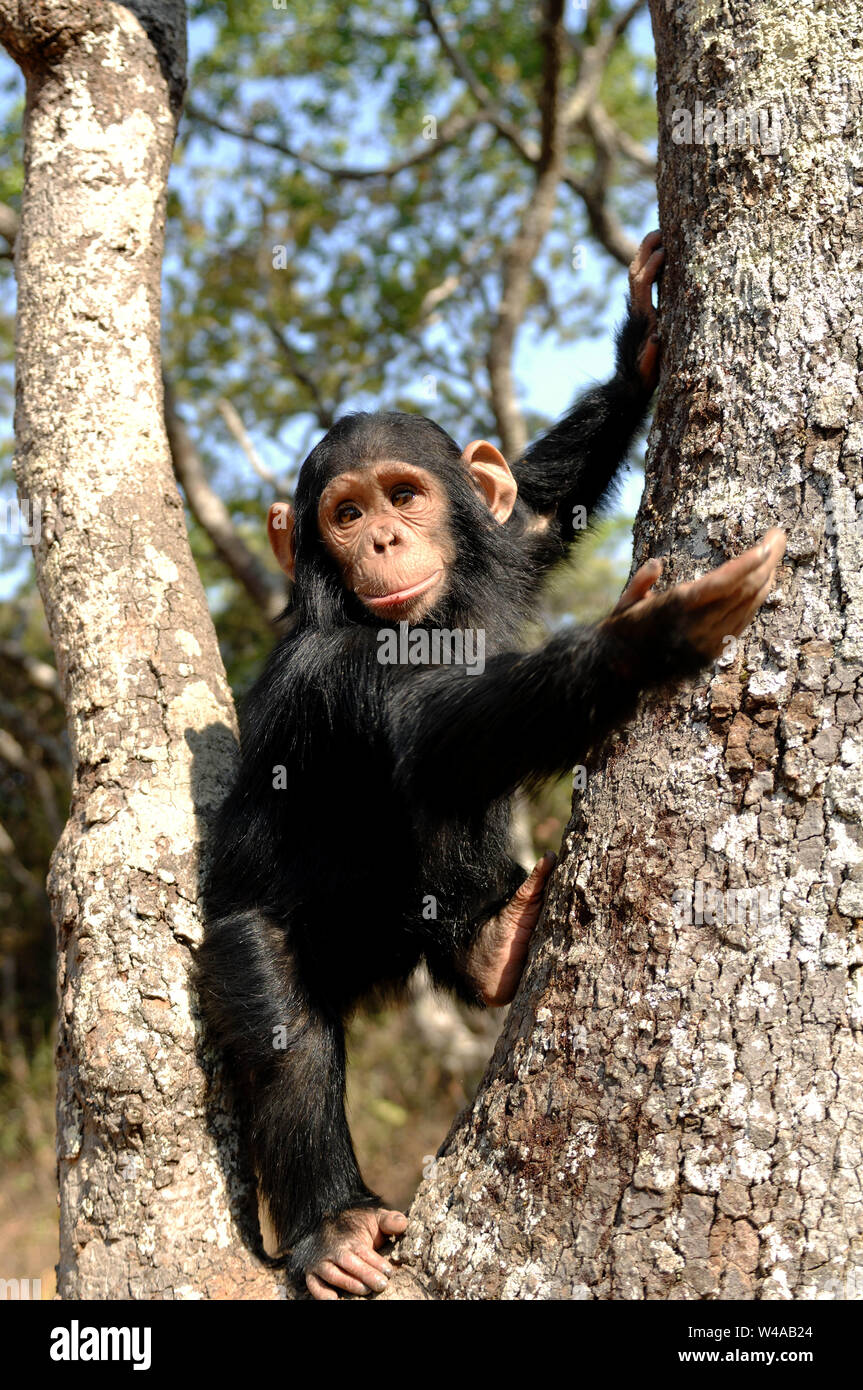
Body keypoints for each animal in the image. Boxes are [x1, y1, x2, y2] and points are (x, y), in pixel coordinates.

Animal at [197, 233, 789, 1295]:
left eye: (404, 495)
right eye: (343, 513)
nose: (382, 537)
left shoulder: (504, 556)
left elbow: (539, 511)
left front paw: (641, 341)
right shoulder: (345, 671)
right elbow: (434, 732)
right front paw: (649, 636)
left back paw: (487, 942)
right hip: (242, 940)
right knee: (286, 1033)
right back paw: (331, 1226)